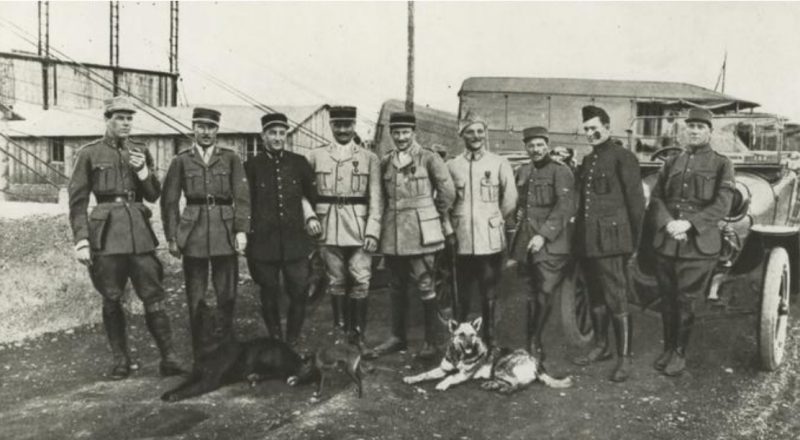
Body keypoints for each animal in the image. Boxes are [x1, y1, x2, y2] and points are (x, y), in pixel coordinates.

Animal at [161, 302, 310, 402]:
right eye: (211, 319)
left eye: (222, 319)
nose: (219, 329)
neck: (211, 348)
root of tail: (291, 351)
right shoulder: (195, 375)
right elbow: (182, 385)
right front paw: (170, 392)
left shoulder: (209, 381)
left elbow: (190, 389)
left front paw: (174, 396)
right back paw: (255, 376)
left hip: (267, 355)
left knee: (289, 371)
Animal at [404, 318, 572, 394]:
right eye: (461, 335)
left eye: (472, 335)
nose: (469, 347)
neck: (459, 355)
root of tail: (534, 359)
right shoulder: (442, 369)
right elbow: (424, 374)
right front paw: (412, 378)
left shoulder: (463, 375)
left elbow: (450, 377)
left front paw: (442, 384)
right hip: (498, 371)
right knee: (516, 382)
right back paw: (492, 385)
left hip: (500, 366)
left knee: (517, 384)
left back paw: (503, 389)